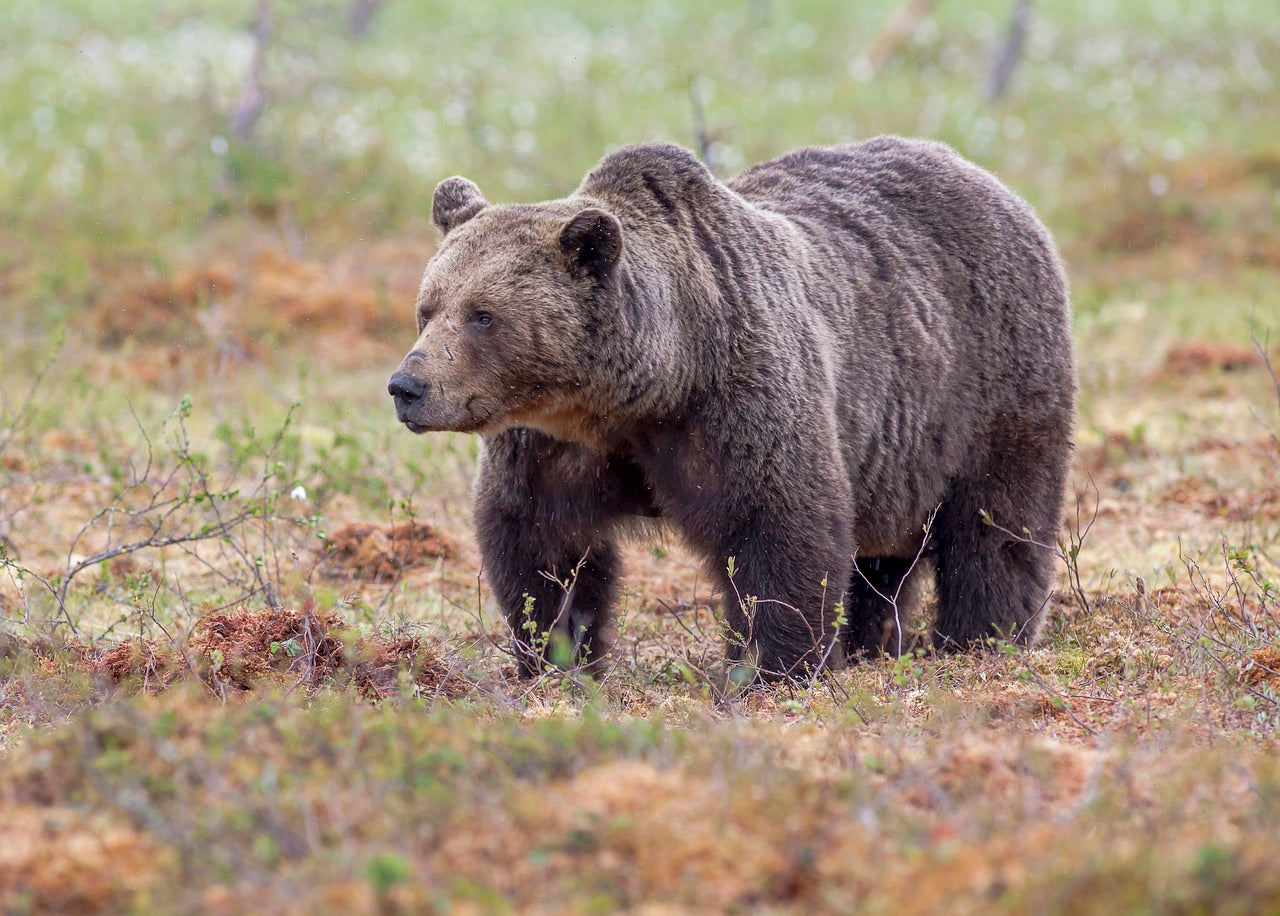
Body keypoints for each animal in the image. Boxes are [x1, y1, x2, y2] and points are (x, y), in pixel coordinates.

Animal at [386, 136, 1070, 680]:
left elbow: (779, 526)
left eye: (483, 316)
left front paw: (774, 665)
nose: (406, 386)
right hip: (894, 455)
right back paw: (868, 644)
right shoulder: (554, 445)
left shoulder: (735, 400)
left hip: (990, 379)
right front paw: (557, 655)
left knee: (996, 527)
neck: (644, 389)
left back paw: (981, 640)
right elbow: (540, 543)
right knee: (878, 562)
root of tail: (990, 181)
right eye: (428, 307)